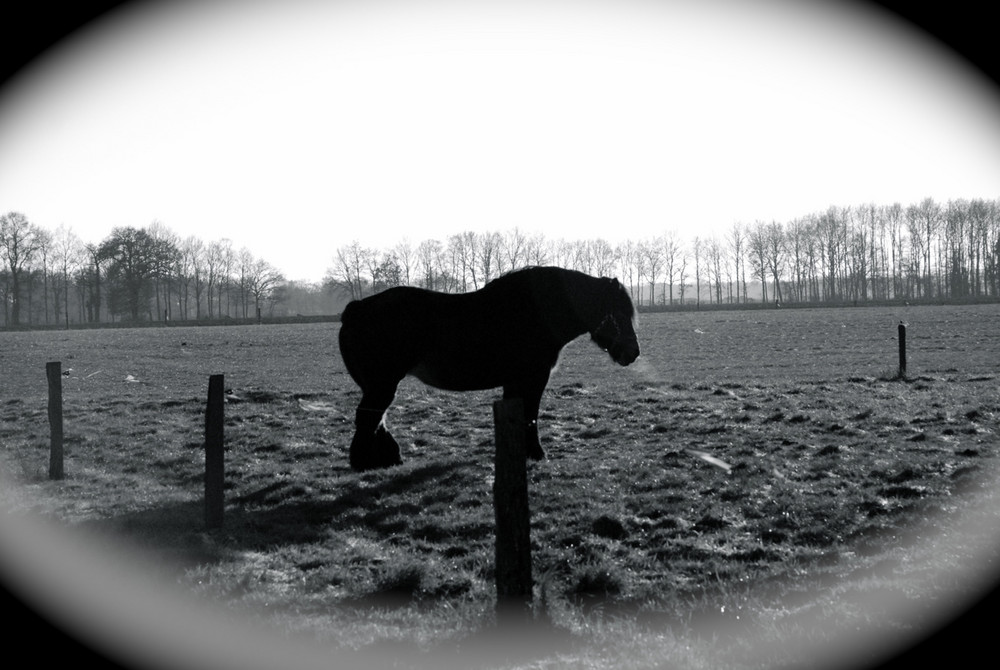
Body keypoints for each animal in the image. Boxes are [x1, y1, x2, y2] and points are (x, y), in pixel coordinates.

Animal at [340, 266, 640, 472]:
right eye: (617, 313)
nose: (633, 353)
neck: (535, 313)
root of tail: (356, 308)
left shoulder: (516, 382)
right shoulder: (532, 378)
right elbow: (530, 416)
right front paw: (536, 453)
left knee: (376, 418)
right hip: (382, 384)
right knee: (369, 417)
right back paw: (365, 462)